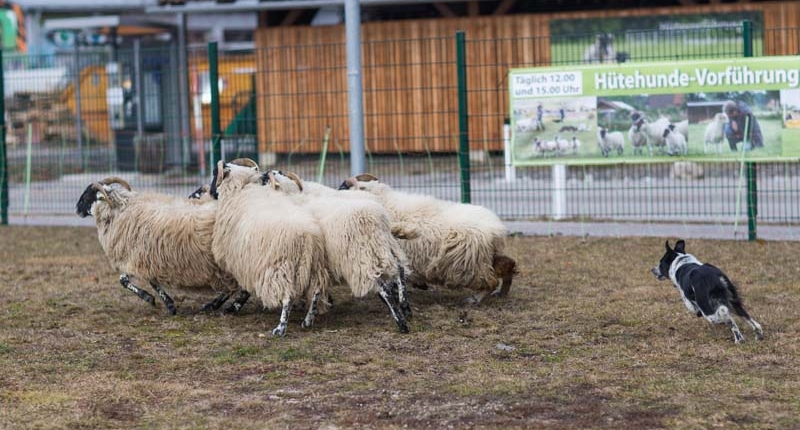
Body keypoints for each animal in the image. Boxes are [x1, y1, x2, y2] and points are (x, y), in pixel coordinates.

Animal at [76, 176, 242, 314]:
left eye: (87, 195)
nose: (77, 209)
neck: (122, 209)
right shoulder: (144, 257)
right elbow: (139, 281)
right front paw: (164, 302)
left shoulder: (142, 257)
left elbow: (127, 281)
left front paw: (158, 301)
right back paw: (216, 305)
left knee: (239, 288)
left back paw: (227, 307)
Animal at [209, 160, 332, 336]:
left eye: (214, 173)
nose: (211, 192)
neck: (240, 188)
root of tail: (309, 238)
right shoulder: (247, 260)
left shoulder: (241, 259)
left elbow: (237, 287)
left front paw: (228, 305)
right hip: (314, 267)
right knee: (316, 291)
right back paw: (307, 320)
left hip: (282, 267)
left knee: (288, 296)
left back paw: (281, 327)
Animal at [334, 173, 516, 304]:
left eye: (359, 185)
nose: (342, 184)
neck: (384, 201)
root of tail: (497, 230)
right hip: (484, 258)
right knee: (508, 264)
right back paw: (502, 293)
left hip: (469, 264)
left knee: (492, 280)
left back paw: (476, 299)